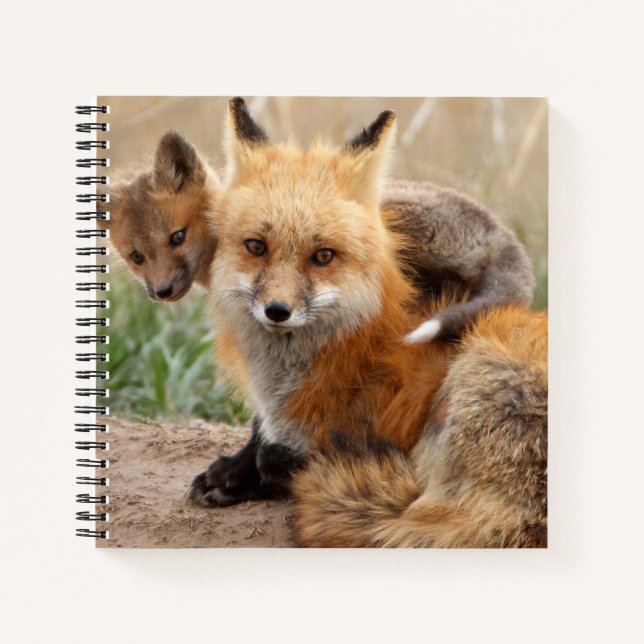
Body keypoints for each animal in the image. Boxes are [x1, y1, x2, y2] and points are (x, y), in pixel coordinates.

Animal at [188, 98, 547, 547]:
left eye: (323, 256)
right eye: (256, 247)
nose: (277, 310)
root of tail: (503, 238)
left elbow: (290, 458)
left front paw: (259, 472)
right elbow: (262, 437)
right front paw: (235, 471)